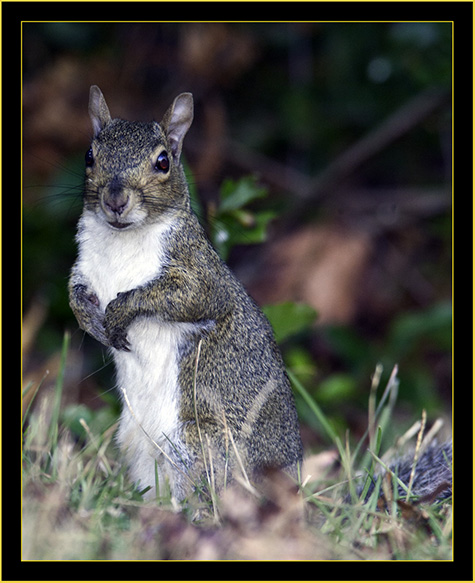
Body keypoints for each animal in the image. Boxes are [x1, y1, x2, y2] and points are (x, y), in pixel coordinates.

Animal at [69, 86, 304, 502]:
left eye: (163, 162)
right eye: (89, 156)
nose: (115, 200)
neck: (121, 241)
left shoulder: (201, 274)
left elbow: (185, 297)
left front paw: (121, 312)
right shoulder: (86, 269)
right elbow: (75, 293)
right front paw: (89, 320)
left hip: (203, 443)